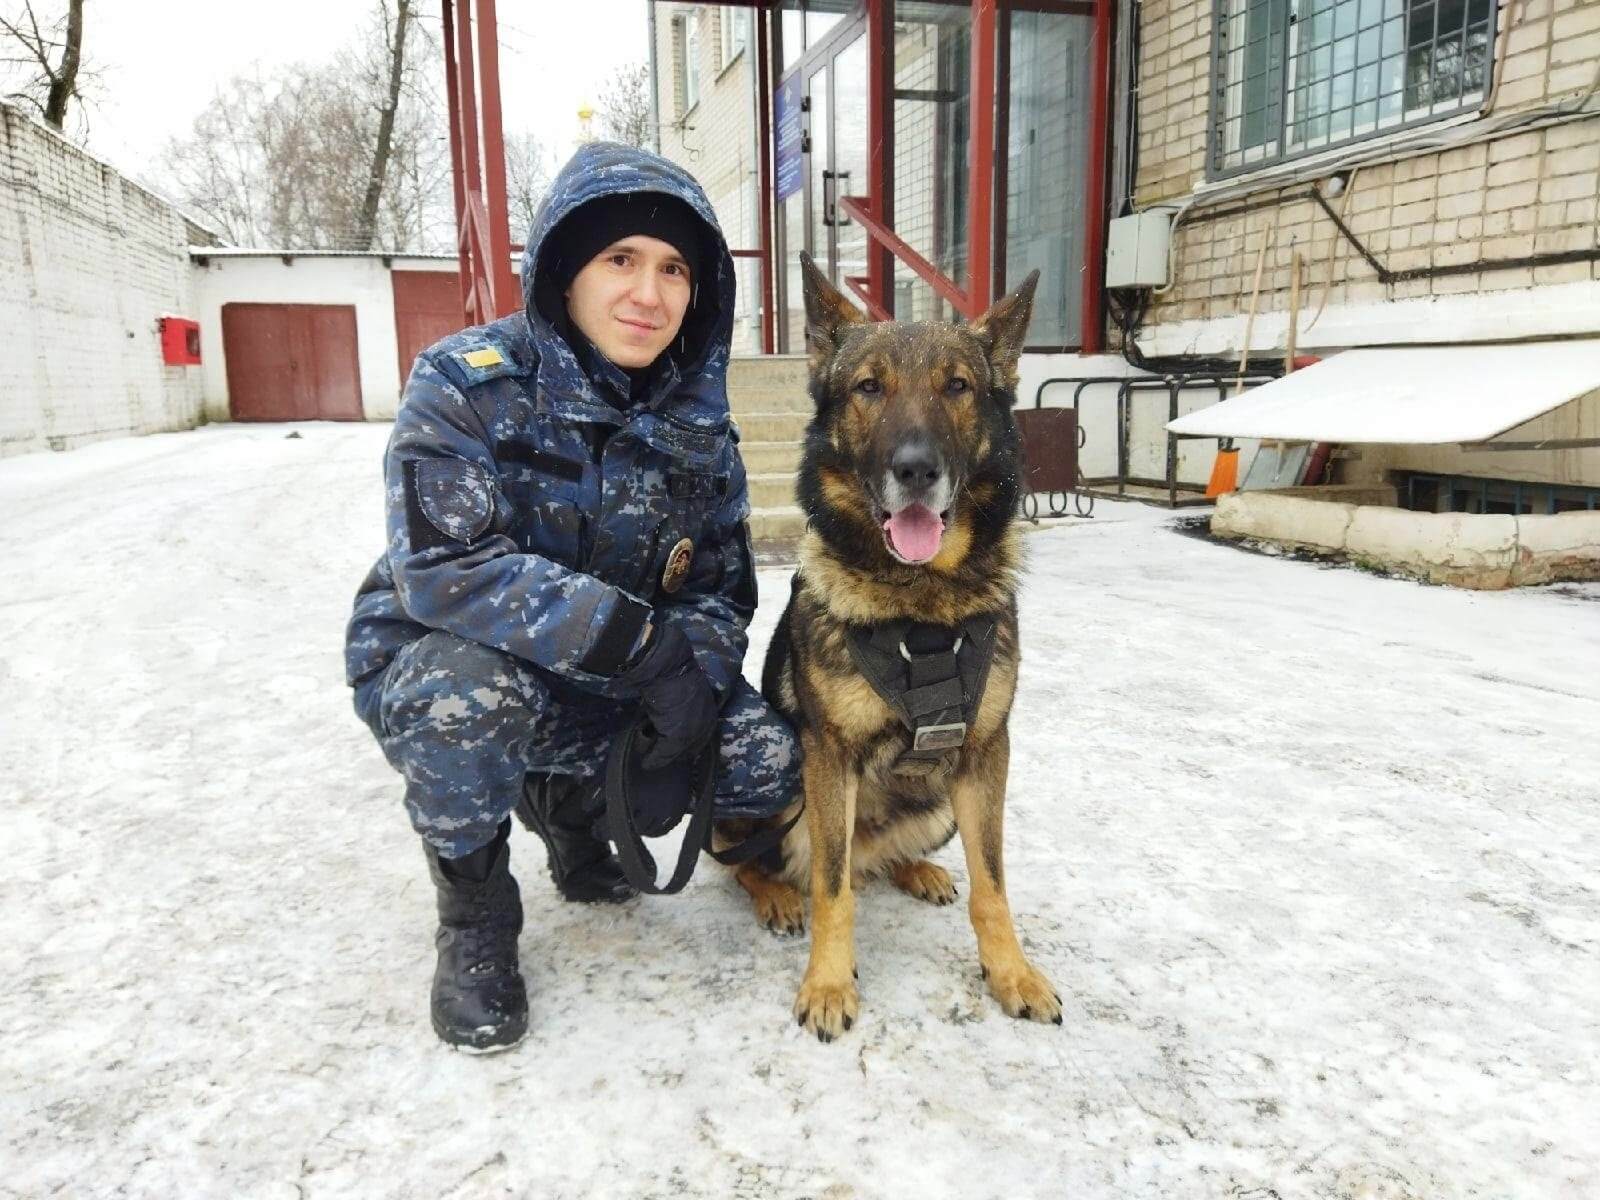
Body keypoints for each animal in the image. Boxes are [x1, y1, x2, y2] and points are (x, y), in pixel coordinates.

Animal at [720, 256, 1056, 1043]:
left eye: (957, 386)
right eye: (868, 387)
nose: (916, 470)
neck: (920, 605)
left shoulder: (986, 752)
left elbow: (993, 884)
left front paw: (1012, 972)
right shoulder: (828, 755)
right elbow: (832, 888)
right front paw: (828, 982)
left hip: (939, 804)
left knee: (882, 861)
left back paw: (915, 871)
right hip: (779, 792)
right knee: (771, 865)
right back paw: (777, 896)